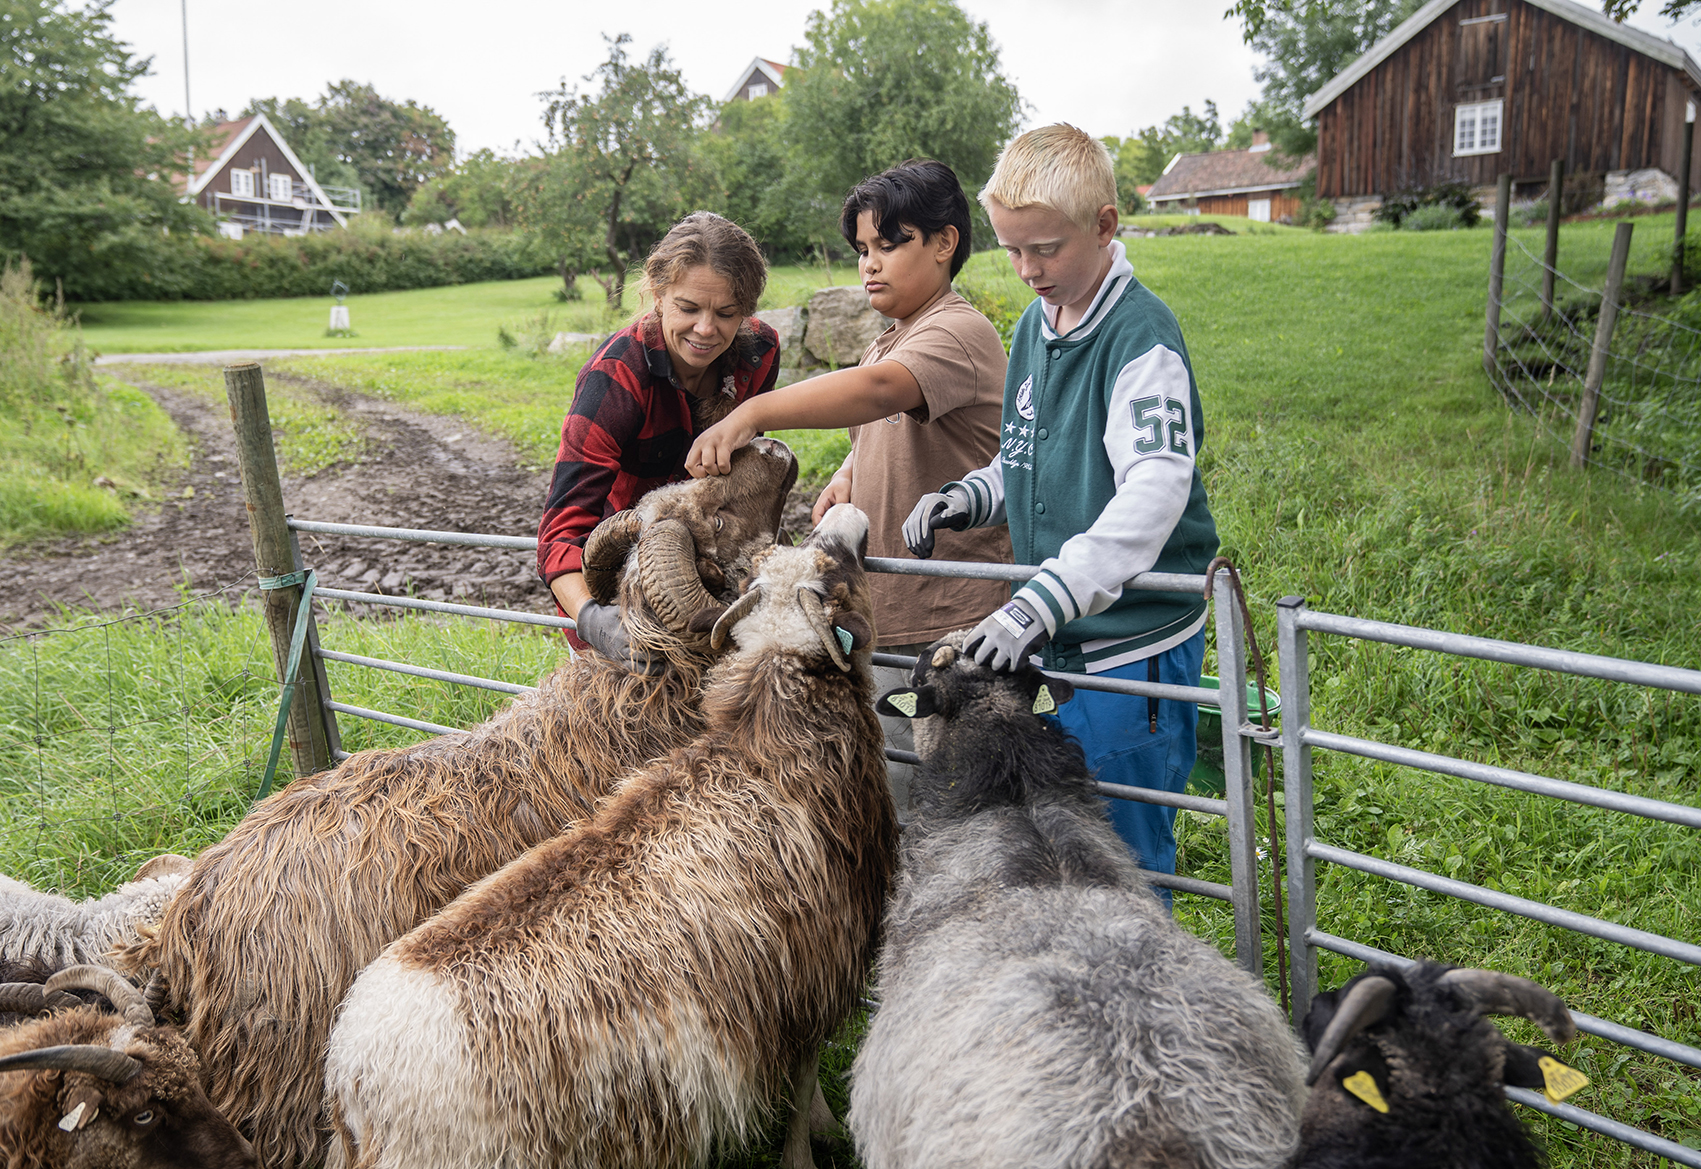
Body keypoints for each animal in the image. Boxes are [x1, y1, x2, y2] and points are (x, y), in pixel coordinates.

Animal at [323, 507, 898, 1169]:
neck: (767, 747)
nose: (847, 514)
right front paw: (816, 1140)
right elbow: (804, 1085)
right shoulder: (816, 972)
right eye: (835, 581)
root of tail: (354, 1084)